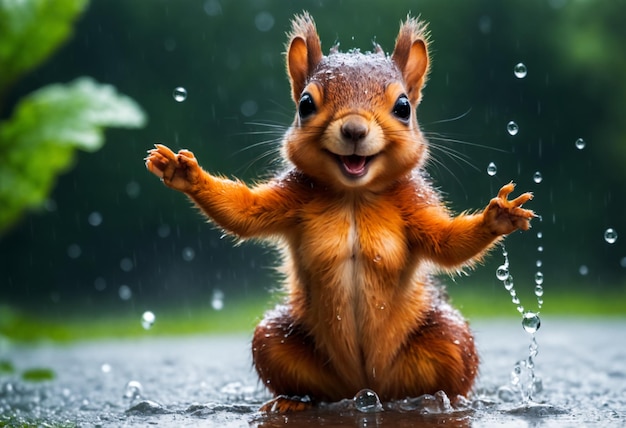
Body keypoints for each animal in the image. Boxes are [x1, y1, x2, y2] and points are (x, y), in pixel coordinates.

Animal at [145, 12, 532, 412]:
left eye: (403, 108)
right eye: (305, 105)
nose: (354, 129)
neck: (353, 196)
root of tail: (365, 389)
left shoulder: (415, 201)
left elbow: (447, 242)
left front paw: (498, 216)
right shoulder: (292, 195)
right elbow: (244, 212)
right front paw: (184, 173)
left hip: (449, 339)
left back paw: (443, 401)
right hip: (276, 338)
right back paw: (293, 402)